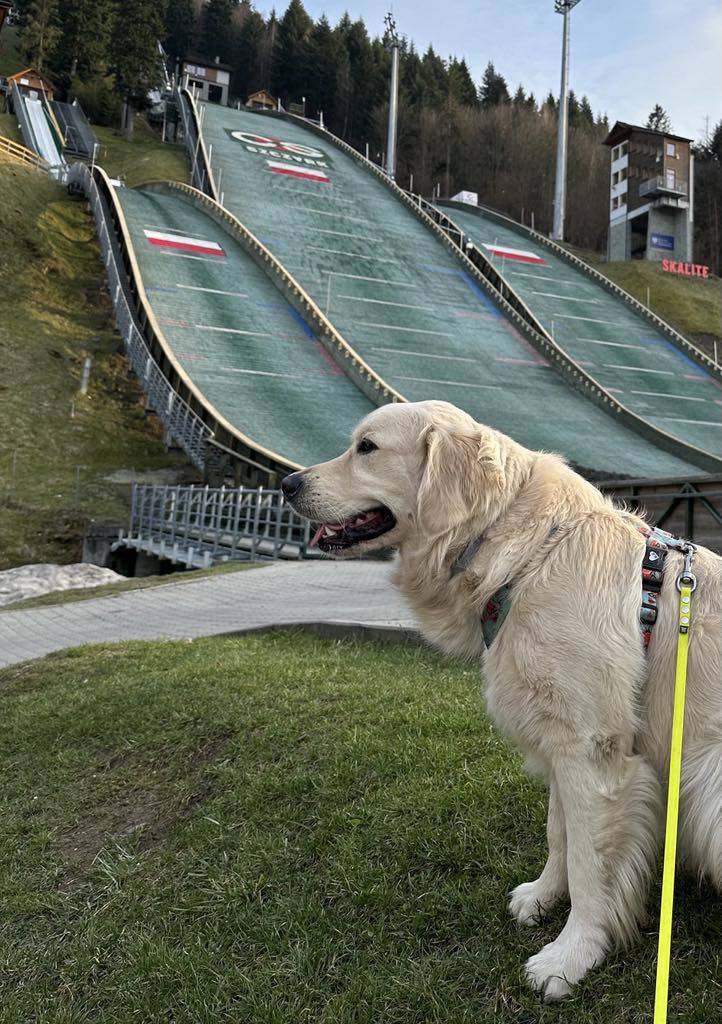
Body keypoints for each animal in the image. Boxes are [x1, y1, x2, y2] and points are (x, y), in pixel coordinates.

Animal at [281, 399, 722, 1000]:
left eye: (366, 447)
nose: (287, 483)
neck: (529, 554)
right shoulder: (561, 741)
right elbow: (560, 835)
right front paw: (542, 897)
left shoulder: (594, 752)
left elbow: (590, 864)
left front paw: (571, 954)